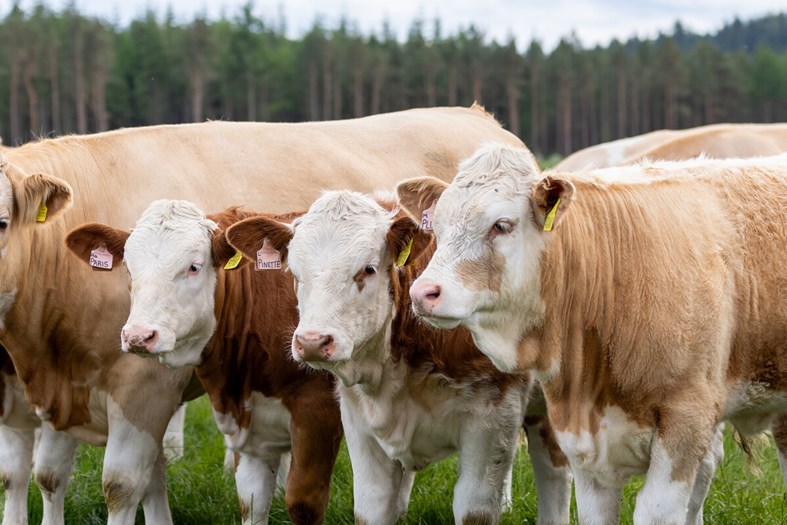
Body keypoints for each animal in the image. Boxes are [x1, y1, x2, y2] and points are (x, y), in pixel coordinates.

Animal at [65, 201, 343, 525]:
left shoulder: (317, 414)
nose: (138, 336)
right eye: (130, 269)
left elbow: (303, 504)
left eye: (193, 267)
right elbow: (252, 501)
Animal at [225, 190, 574, 525]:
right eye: (295, 274)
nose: (312, 341)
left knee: (554, 468)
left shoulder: (492, 417)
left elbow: (474, 510)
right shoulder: (359, 422)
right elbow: (373, 507)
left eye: (368, 269)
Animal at [399, 143, 787, 524]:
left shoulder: (687, 418)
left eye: (501, 225)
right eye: (439, 227)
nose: (423, 292)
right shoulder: (584, 446)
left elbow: (657, 510)